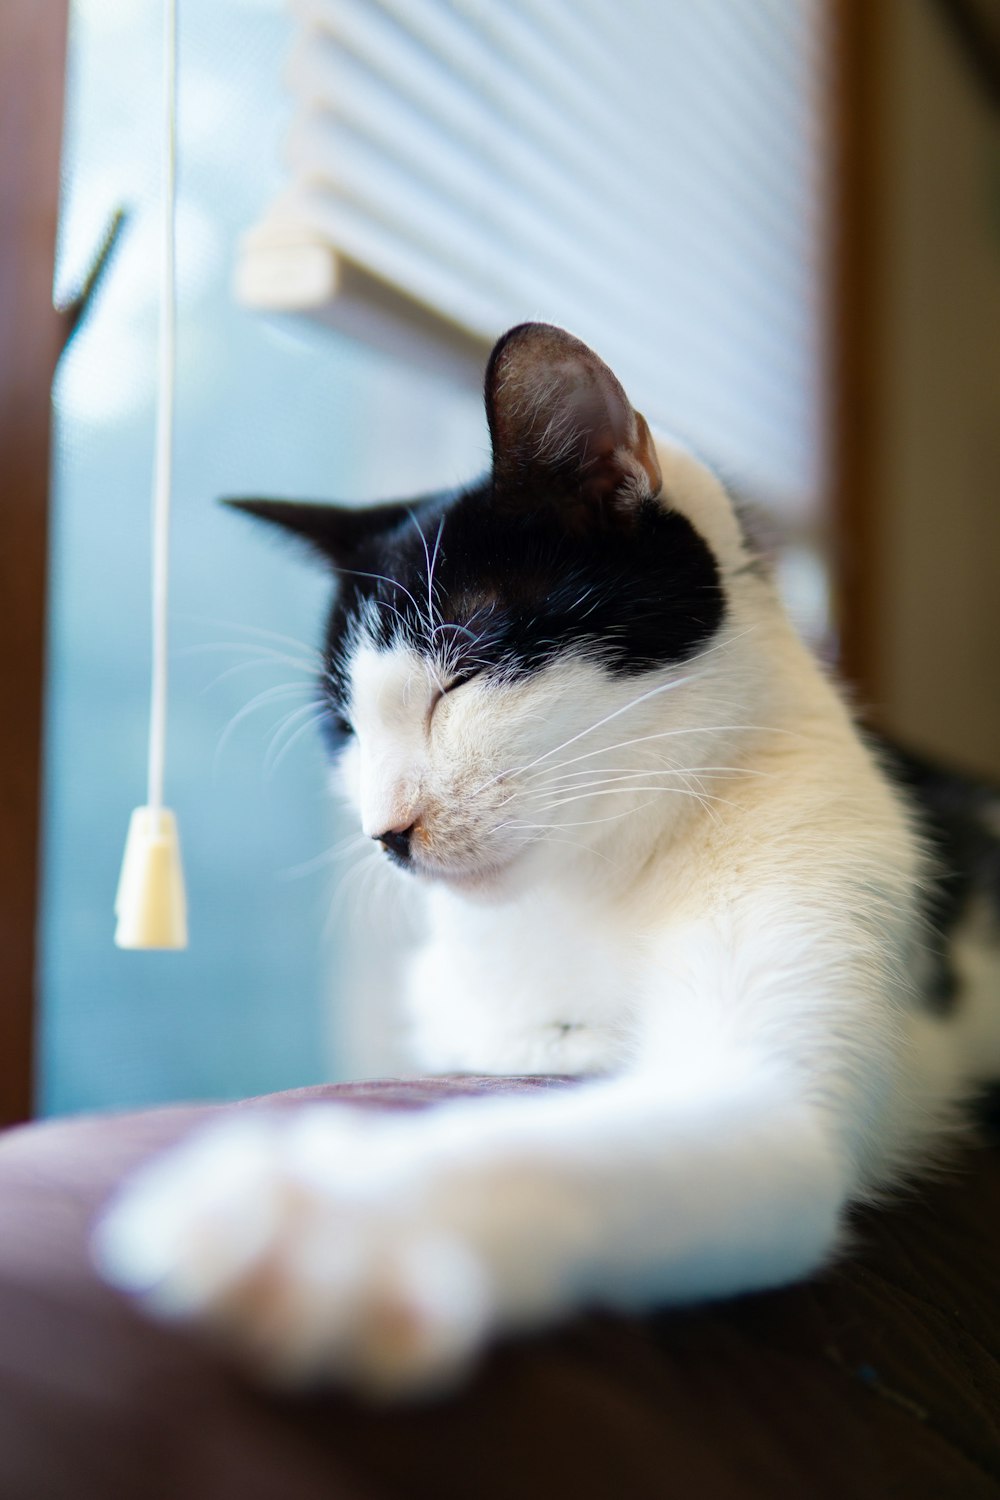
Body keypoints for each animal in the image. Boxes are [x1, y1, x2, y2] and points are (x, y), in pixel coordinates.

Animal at [97, 322, 1000, 1398]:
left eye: (461, 676)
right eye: (346, 729)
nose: (385, 831)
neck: (594, 885)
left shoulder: (766, 1067)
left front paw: (326, 1219)